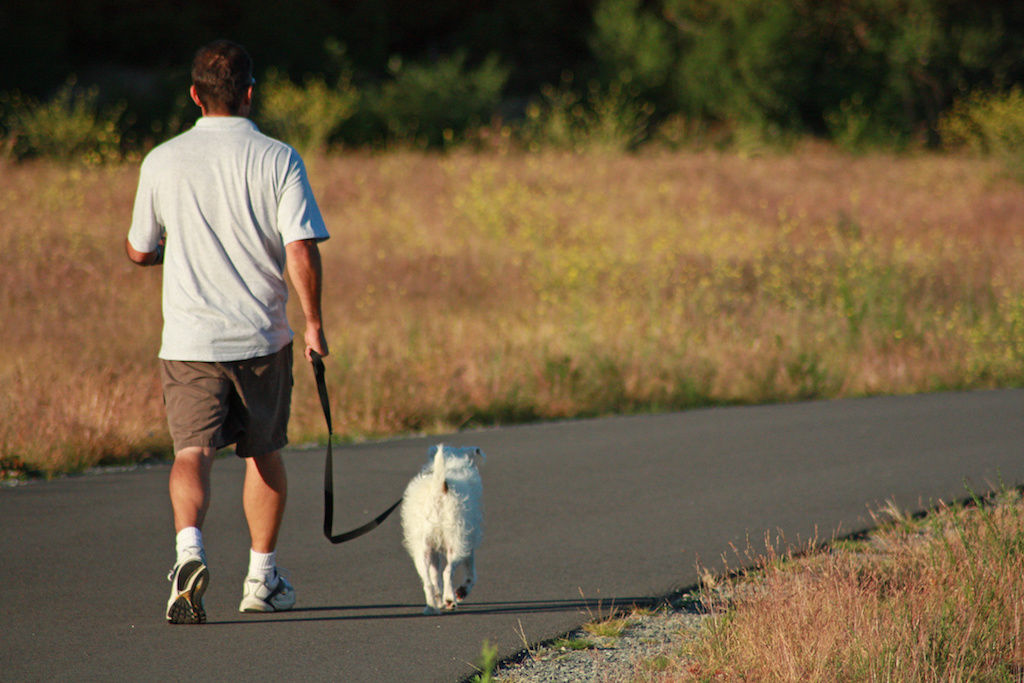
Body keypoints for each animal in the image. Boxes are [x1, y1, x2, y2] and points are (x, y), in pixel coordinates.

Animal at [399, 444, 483, 614]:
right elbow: (471, 574)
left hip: (423, 550)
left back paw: (432, 607)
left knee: (428, 582)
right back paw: (450, 599)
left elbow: (434, 576)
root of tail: (438, 490)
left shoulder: (433, 550)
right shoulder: (468, 543)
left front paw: (439, 601)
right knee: (447, 571)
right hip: (456, 543)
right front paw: (462, 591)